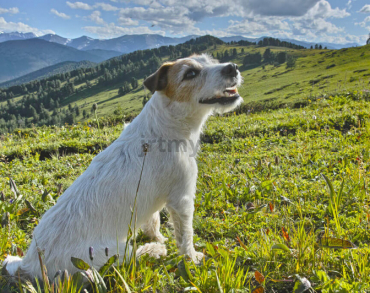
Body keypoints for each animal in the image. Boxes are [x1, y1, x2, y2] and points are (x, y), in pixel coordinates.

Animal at [2, 53, 243, 280]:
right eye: (190, 74)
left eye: (210, 60)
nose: (233, 67)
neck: (167, 126)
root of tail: (30, 264)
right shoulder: (181, 199)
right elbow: (185, 236)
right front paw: (192, 258)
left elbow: (153, 221)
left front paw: (157, 236)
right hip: (109, 252)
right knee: (129, 257)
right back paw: (153, 250)